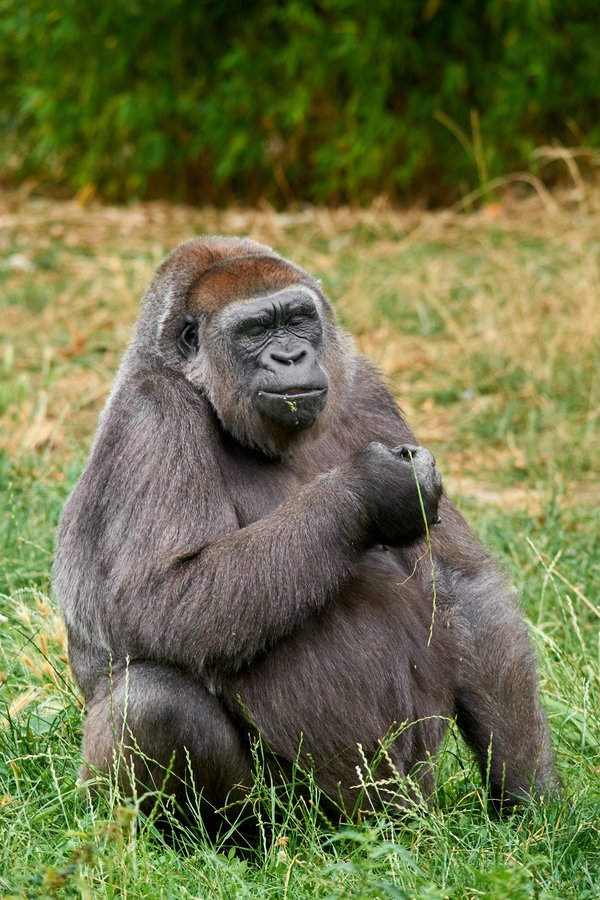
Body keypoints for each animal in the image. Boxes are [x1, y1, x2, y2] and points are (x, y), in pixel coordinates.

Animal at [53, 236, 557, 833]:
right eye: (255, 331)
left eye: (297, 320)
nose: (290, 357)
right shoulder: (154, 414)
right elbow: (164, 597)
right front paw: (368, 490)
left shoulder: (364, 388)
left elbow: (464, 587)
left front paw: (532, 800)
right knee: (154, 703)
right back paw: (228, 841)